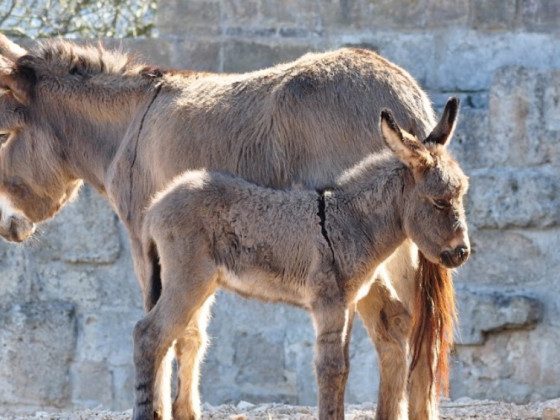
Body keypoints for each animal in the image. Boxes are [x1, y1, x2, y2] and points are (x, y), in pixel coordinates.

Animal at [133, 99, 470, 420]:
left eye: (462, 194)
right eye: (440, 201)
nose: (462, 253)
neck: (352, 221)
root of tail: (156, 206)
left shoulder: (347, 303)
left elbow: (344, 368)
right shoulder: (329, 303)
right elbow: (331, 368)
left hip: (198, 284)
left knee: (178, 337)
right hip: (187, 280)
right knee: (149, 335)